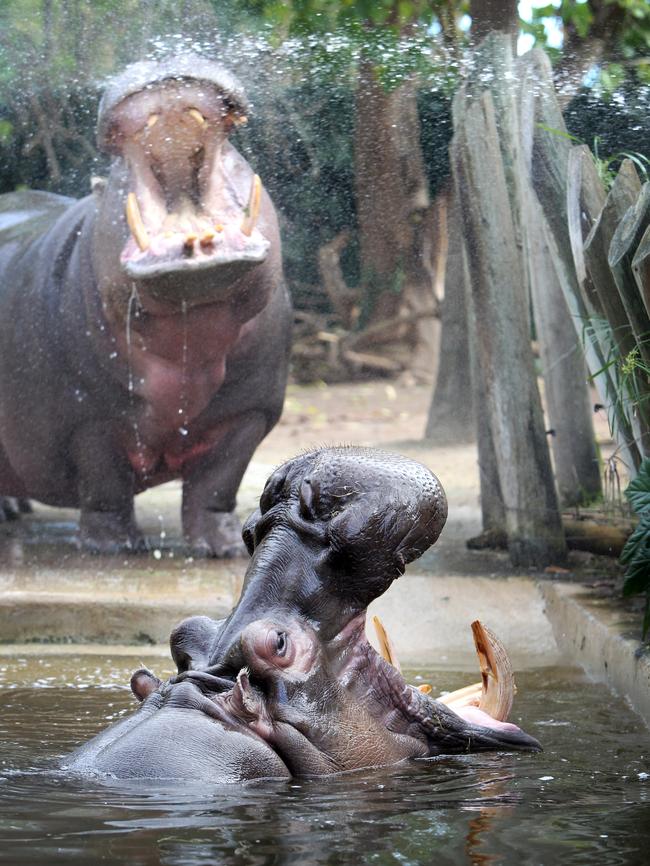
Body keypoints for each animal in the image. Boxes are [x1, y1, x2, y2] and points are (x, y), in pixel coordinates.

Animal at [0, 54, 290, 552]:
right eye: (110, 175)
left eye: (238, 155)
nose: (167, 55)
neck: (189, 341)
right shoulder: (89, 420)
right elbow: (105, 484)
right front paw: (113, 547)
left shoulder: (249, 412)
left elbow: (218, 483)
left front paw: (223, 548)